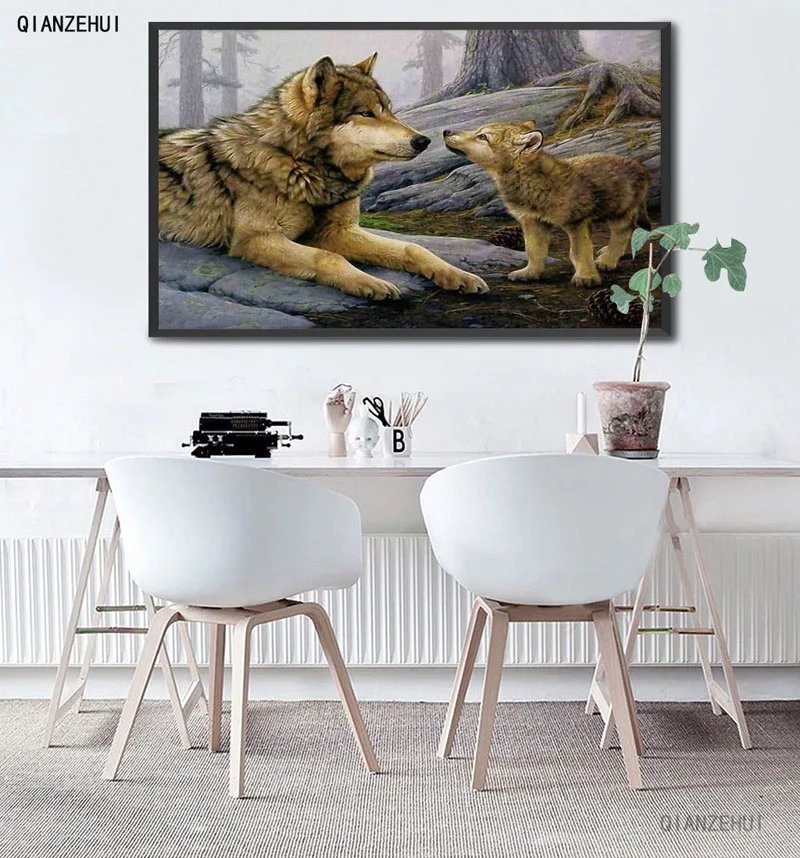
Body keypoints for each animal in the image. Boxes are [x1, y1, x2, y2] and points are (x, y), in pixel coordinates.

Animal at [158, 54, 488, 301]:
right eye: (366, 113)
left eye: (390, 111)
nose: (423, 141)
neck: (303, 166)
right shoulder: (255, 240)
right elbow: (327, 258)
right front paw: (371, 283)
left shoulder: (337, 231)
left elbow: (413, 247)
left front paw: (457, 274)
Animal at [443, 121, 650, 287]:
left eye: (483, 136)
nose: (446, 131)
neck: (532, 182)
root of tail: (638, 164)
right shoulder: (532, 221)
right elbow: (534, 251)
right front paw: (530, 273)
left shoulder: (576, 221)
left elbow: (579, 252)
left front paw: (586, 277)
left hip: (620, 213)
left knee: (622, 234)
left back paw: (607, 260)